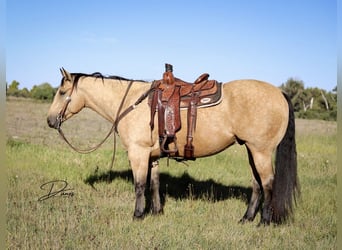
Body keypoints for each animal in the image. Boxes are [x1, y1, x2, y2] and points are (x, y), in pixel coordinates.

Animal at [47, 67, 300, 225]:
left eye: (62, 92)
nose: (50, 121)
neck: (132, 103)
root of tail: (280, 92)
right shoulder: (152, 156)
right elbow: (154, 184)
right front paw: (156, 212)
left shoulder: (138, 153)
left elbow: (140, 185)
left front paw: (137, 215)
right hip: (251, 150)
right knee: (256, 184)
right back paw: (246, 219)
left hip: (261, 151)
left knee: (268, 184)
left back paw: (264, 221)